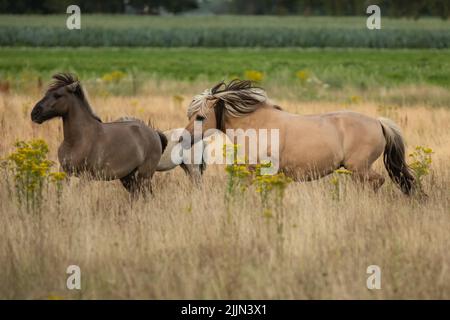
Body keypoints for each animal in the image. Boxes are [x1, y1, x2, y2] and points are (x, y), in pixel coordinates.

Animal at [31, 74, 167, 196]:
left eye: (57, 95)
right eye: (46, 94)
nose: (34, 113)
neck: (76, 140)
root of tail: (155, 133)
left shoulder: (85, 176)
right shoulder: (65, 172)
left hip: (144, 176)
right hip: (129, 177)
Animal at [185, 80, 416, 195]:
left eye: (200, 117)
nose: (184, 139)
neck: (257, 125)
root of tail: (379, 122)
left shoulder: (256, 171)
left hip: (359, 168)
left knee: (377, 181)